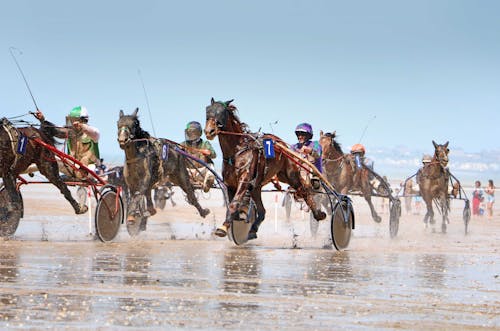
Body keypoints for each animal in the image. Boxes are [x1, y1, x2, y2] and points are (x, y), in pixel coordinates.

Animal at [204, 97, 326, 240]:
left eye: (222, 113)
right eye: (208, 112)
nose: (209, 131)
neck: (237, 151)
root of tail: (282, 145)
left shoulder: (244, 179)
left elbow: (234, 204)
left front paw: (223, 228)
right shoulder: (230, 184)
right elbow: (232, 204)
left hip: (290, 175)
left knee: (304, 190)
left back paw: (318, 214)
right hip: (257, 186)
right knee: (262, 210)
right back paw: (253, 230)